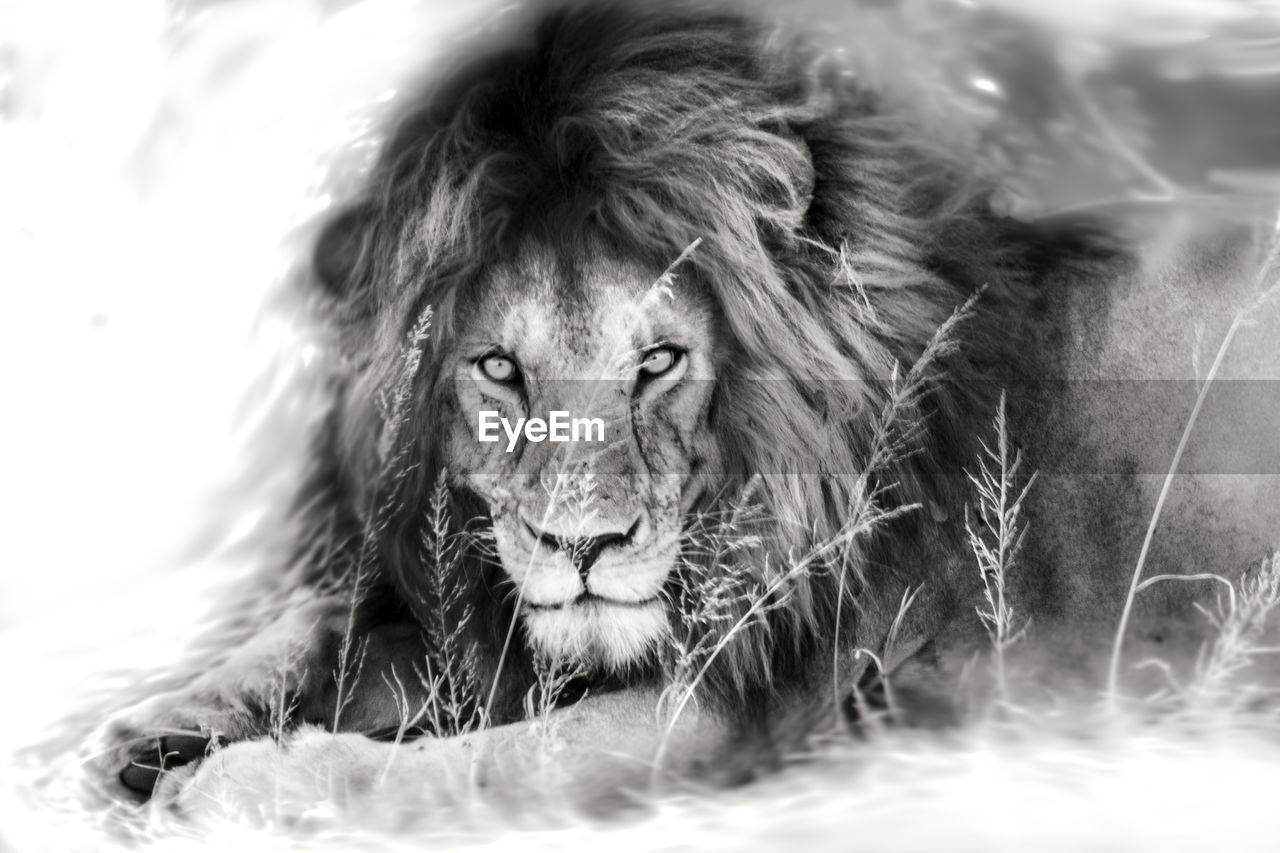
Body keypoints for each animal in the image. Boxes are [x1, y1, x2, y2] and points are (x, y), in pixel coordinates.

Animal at [98, 0, 1280, 823]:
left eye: (659, 361)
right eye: (497, 369)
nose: (582, 547)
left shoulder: (736, 704)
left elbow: (473, 768)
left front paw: (235, 790)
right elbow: (323, 618)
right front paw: (163, 725)